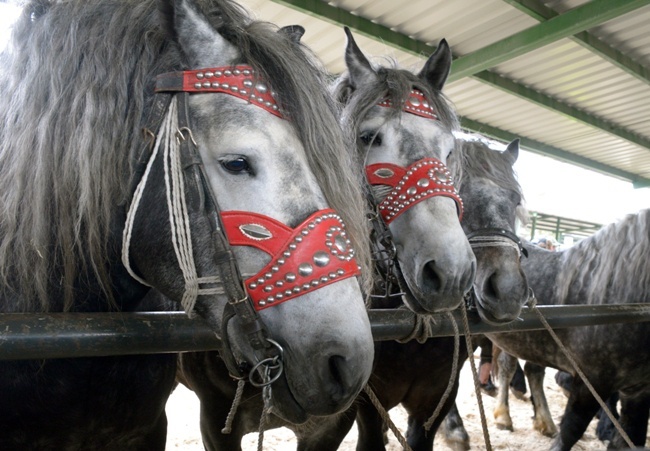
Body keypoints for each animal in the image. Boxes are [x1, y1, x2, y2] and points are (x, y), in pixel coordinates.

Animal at [486, 210, 648, 450]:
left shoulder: (639, 390)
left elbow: (629, 439)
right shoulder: (591, 379)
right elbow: (571, 430)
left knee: (523, 369)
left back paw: (539, 421)